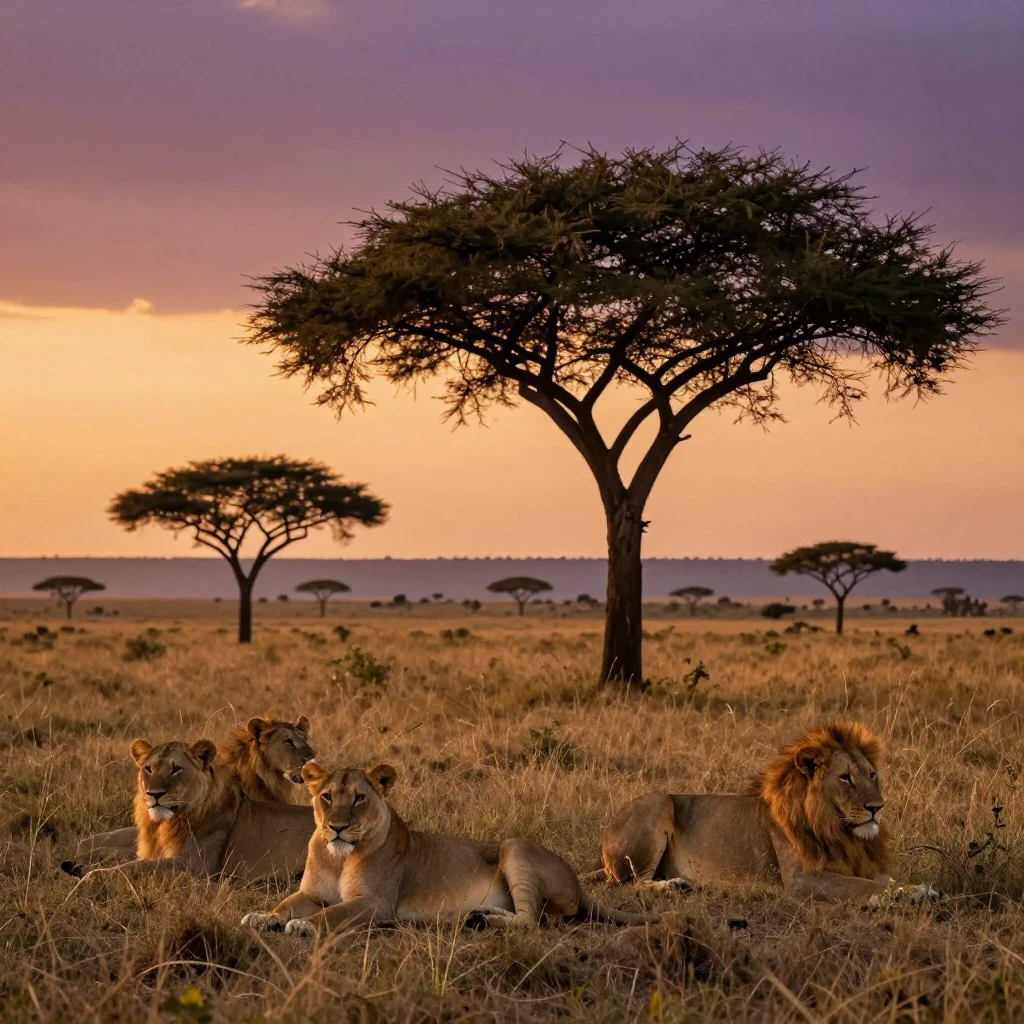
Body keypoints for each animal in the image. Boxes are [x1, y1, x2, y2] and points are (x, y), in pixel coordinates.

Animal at [67, 736, 313, 884]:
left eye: (176, 769)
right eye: (148, 769)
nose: (154, 794)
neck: (163, 824)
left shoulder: (195, 865)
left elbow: (135, 867)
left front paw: (89, 876)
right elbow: (100, 843)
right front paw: (76, 863)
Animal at [241, 761, 656, 937]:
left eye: (359, 798)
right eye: (327, 797)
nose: (337, 827)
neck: (337, 857)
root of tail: (579, 882)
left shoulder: (375, 904)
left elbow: (332, 914)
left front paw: (302, 925)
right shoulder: (310, 893)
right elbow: (284, 903)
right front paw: (263, 917)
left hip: (515, 847)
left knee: (532, 920)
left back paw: (485, 922)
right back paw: (478, 915)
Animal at [595, 719, 936, 903]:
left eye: (872, 774)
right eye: (845, 777)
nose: (877, 808)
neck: (838, 829)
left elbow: (887, 878)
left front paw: (918, 889)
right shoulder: (801, 879)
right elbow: (863, 885)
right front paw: (890, 897)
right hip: (659, 801)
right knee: (630, 884)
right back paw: (673, 886)